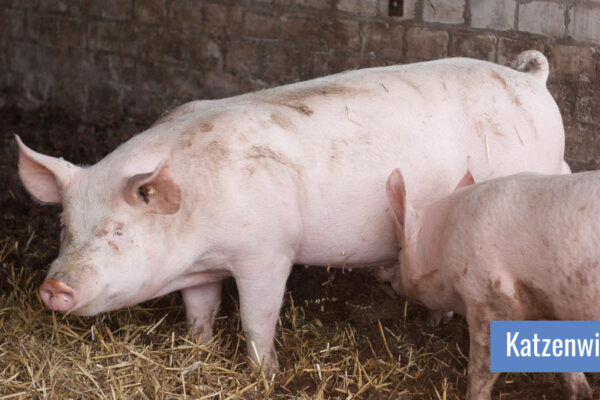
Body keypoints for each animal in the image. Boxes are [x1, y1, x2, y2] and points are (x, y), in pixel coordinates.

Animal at [18, 50, 568, 376]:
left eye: (117, 231)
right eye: (65, 228)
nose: (53, 287)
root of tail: (533, 80)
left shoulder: (267, 252)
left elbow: (256, 318)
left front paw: (267, 376)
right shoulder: (202, 270)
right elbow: (200, 312)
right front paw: (198, 354)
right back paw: (433, 322)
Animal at [384, 170, 600, 400]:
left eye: (399, 249)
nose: (389, 279)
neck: (442, 246)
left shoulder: (489, 297)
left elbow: (481, 366)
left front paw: (473, 394)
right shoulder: (548, 303)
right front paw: (582, 392)